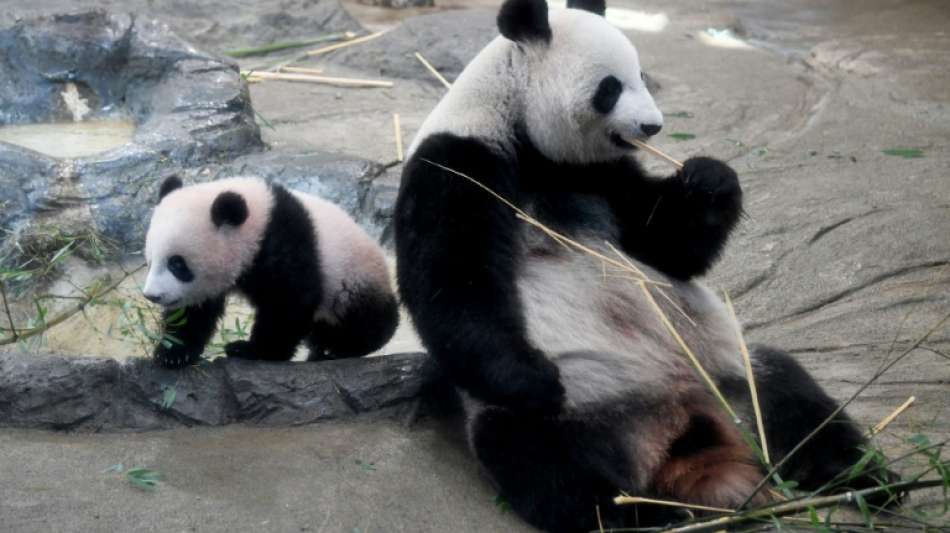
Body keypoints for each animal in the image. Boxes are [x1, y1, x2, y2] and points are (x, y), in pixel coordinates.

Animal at [143, 175, 399, 369]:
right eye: (150, 260)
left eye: (177, 264)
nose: (152, 296)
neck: (259, 220)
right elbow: (194, 311)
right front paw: (173, 353)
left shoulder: (285, 242)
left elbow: (289, 302)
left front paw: (251, 351)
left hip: (353, 279)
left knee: (365, 320)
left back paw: (339, 347)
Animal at [394, 0, 898, 531]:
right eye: (610, 87)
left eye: (643, 76)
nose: (653, 127)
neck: (523, 131)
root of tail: (682, 423)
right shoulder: (460, 163)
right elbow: (454, 282)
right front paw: (533, 378)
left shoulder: (600, 175)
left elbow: (668, 245)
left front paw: (708, 178)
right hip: (582, 409)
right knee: (543, 460)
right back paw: (636, 513)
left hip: (730, 375)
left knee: (793, 398)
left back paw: (867, 479)